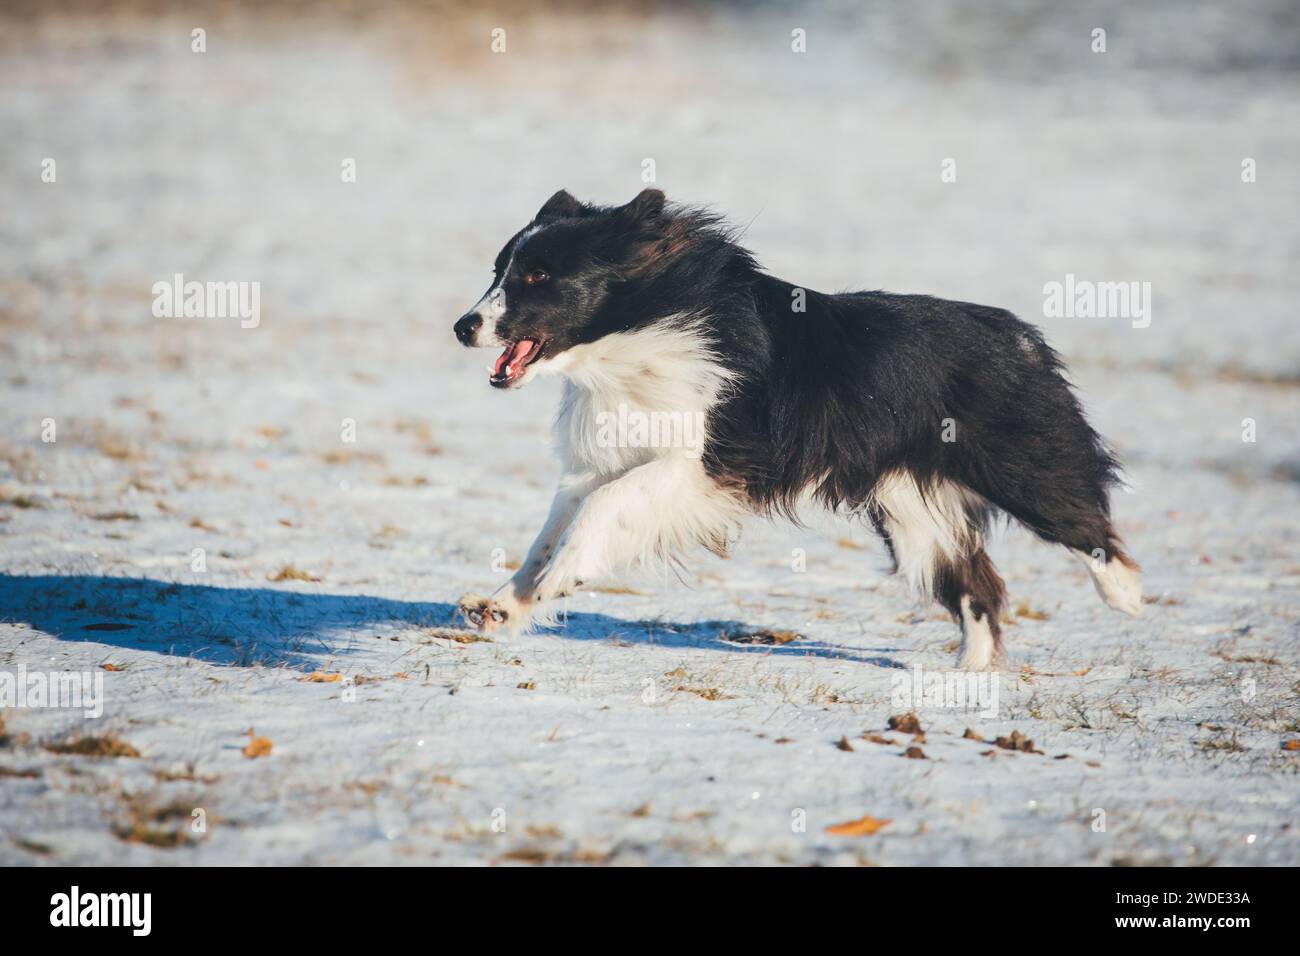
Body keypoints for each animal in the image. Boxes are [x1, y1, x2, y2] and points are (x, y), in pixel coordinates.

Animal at [452, 184, 1144, 665]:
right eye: (497, 271)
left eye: (539, 276)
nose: (463, 326)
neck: (635, 335)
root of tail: (1023, 338)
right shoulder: (604, 456)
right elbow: (556, 526)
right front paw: (500, 608)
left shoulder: (705, 464)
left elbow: (604, 507)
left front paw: (559, 581)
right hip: (909, 508)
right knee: (975, 582)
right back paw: (970, 676)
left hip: (1017, 459)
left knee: (1080, 517)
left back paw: (1127, 596)